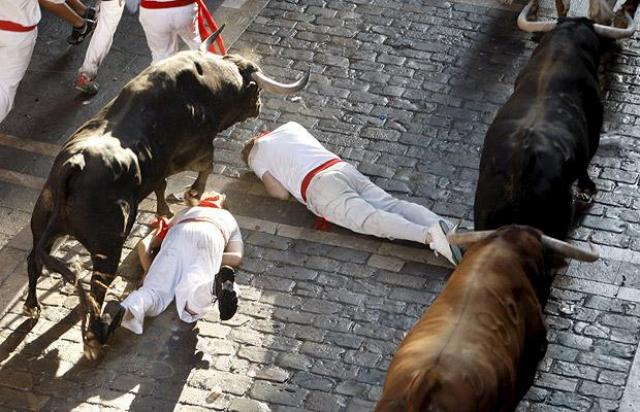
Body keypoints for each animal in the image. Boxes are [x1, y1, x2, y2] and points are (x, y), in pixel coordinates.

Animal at [22, 33, 308, 358]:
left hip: (44, 227)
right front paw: (192, 194)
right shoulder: (198, 148)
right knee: (96, 288)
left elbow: (161, 187)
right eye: (255, 88)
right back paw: (97, 336)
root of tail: (76, 163)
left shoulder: (160, 167)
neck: (208, 83)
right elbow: (205, 168)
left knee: (34, 262)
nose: (259, 105)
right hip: (107, 248)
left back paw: (32, 307)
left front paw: (164, 212)